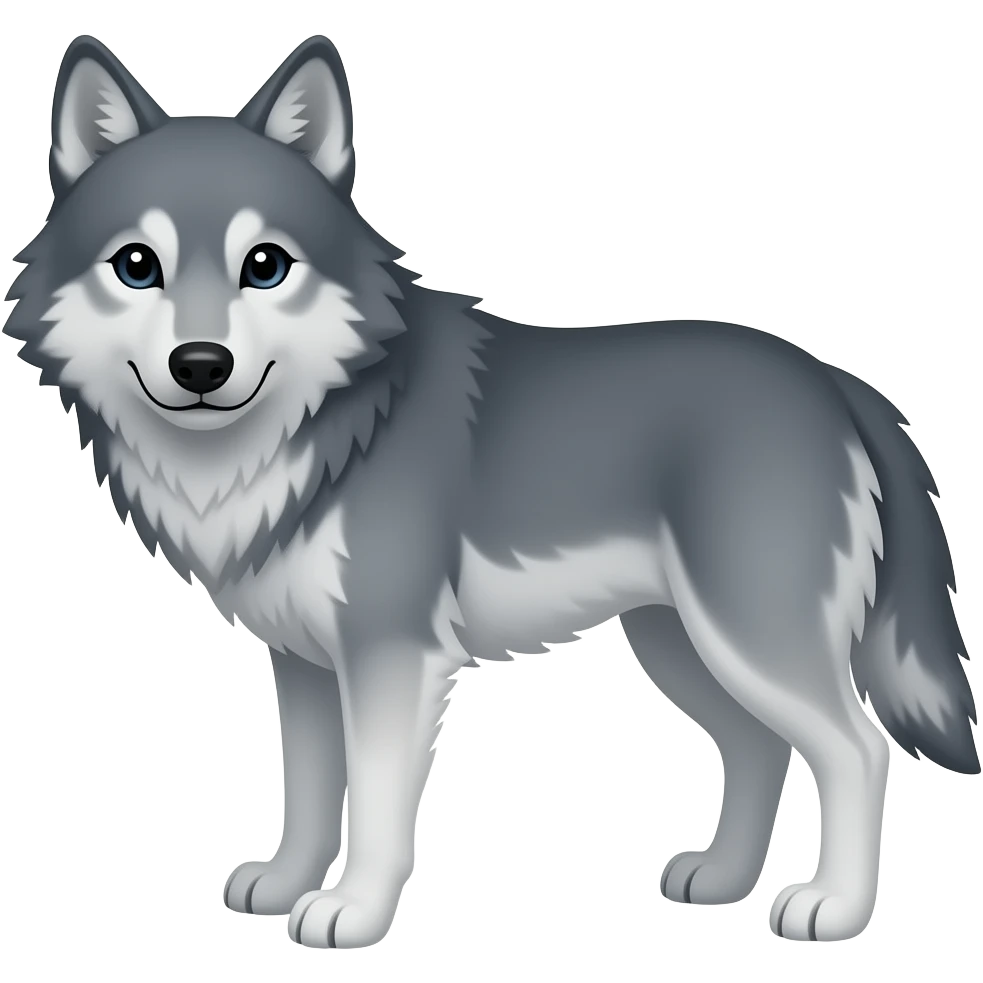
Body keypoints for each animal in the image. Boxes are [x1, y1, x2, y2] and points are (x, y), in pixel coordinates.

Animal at [3, 33, 978, 949]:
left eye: (266, 265)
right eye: (137, 265)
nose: (201, 365)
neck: (321, 425)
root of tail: (834, 381)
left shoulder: (391, 656)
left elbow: (377, 806)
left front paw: (352, 913)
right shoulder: (304, 663)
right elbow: (308, 794)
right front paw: (283, 886)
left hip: (748, 638)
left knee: (856, 750)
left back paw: (834, 907)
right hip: (680, 645)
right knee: (761, 744)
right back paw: (722, 879)